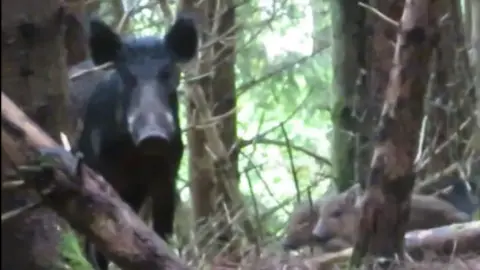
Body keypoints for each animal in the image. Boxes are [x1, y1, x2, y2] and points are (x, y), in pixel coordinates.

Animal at [66, 14, 198, 270]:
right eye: (127, 77)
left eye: (168, 73)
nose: (153, 136)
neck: (135, 158)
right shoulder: (98, 172)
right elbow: (98, 245)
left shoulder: (167, 174)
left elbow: (162, 234)